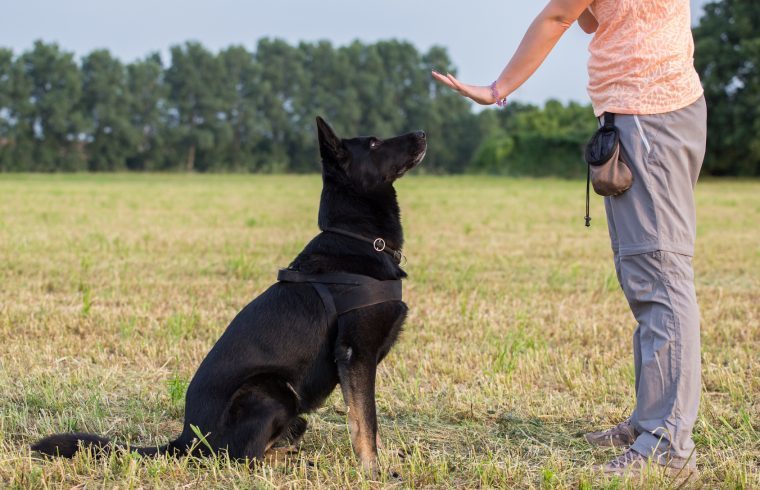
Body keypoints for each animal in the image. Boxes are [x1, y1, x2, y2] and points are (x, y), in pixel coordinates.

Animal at [34, 117, 428, 472]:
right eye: (374, 143)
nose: (422, 133)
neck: (359, 238)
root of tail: (186, 439)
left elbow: (366, 420)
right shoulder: (355, 354)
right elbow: (366, 421)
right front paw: (373, 470)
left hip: (293, 410)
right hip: (273, 391)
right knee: (242, 457)